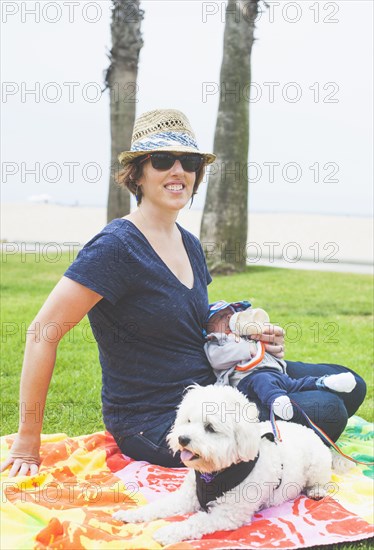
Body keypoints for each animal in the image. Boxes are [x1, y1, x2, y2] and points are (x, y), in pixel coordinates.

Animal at [113, 384, 334, 548]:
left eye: (210, 428)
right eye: (188, 420)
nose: (183, 439)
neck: (215, 472)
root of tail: (307, 428)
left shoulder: (227, 514)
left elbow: (196, 521)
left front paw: (168, 532)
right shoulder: (187, 497)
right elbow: (160, 505)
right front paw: (131, 514)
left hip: (318, 466)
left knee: (320, 481)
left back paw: (316, 491)